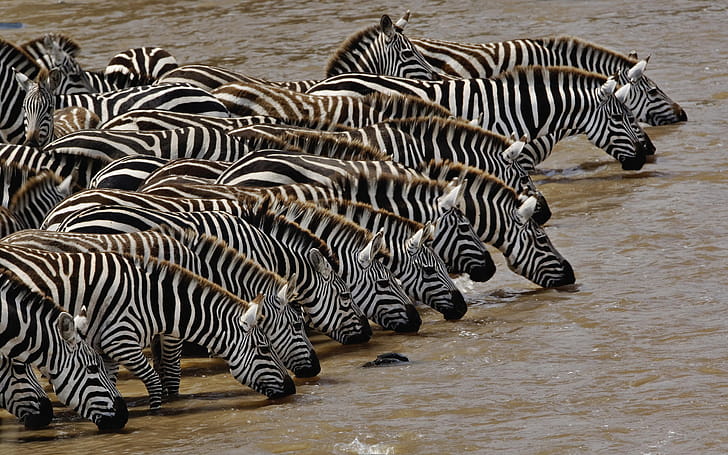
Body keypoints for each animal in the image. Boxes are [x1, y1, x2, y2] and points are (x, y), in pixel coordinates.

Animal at [2, 227, 320, 390]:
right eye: (297, 325)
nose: (316, 369)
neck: (200, 267)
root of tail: (9, 237)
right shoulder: (173, 324)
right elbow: (170, 368)